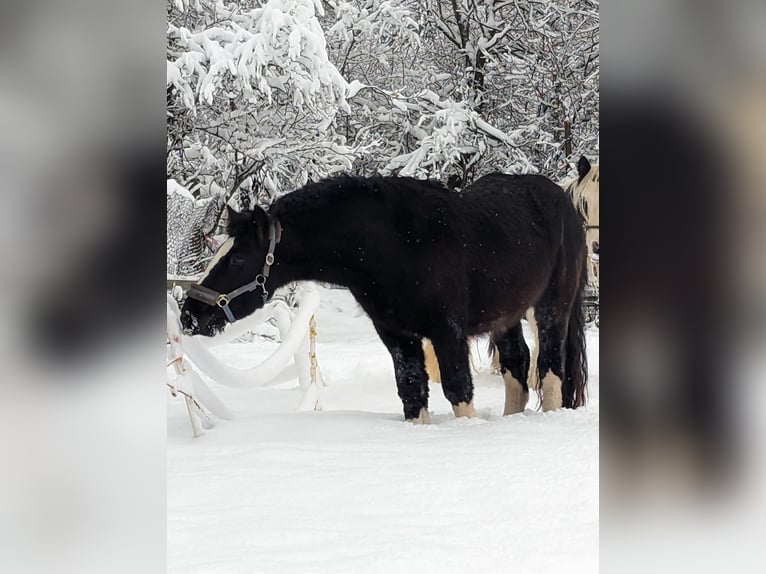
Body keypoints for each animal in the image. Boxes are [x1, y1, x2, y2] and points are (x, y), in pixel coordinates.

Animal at [180, 176, 588, 424]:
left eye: (236, 259)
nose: (190, 314)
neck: (395, 243)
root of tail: (563, 201)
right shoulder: (396, 335)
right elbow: (411, 391)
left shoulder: (447, 331)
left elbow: (458, 389)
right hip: (505, 316)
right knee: (517, 367)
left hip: (551, 308)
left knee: (549, 370)